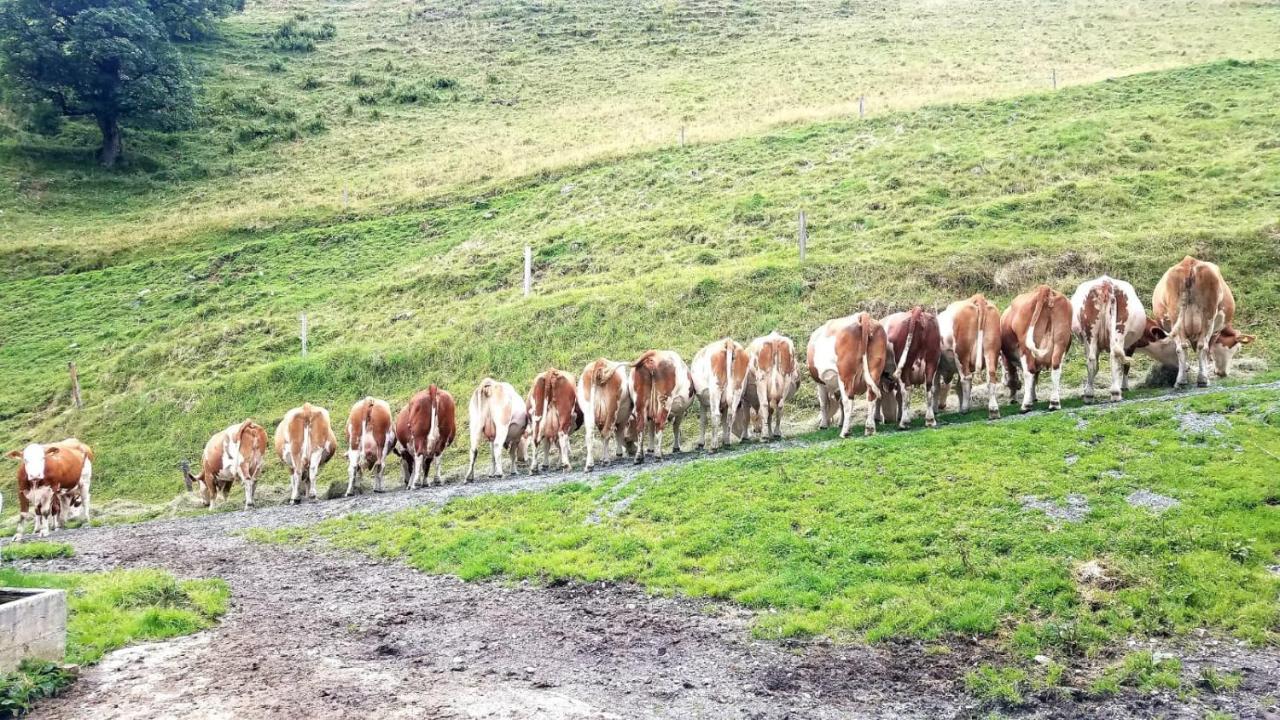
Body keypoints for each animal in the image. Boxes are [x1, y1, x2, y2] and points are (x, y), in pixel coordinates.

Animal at [998, 284, 1070, 412]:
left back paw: (1026, 405)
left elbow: (1013, 378)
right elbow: (1036, 377)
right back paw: (1054, 403)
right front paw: (1033, 397)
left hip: (1025, 347)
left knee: (1029, 371)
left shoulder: (1009, 360)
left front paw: (1014, 399)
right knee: (1056, 367)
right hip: (1061, 342)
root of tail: (1044, 289)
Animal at [1146, 254, 1254, 384]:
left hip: (1176, 317)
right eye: (1237, 349)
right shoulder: (1216, 331)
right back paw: (1203, 380)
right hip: (1208, 319)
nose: (1223, 373)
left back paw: (1181, 380)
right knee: (1203, 346)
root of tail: (1190, 262)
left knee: (1182, 347)